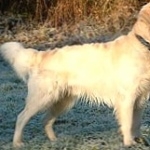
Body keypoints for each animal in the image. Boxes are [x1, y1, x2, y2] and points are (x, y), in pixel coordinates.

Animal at [0, 2, 150, 148]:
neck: (142, 46)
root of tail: (41, 55)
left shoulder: (140, 98)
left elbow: (136, 123)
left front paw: (140, 141)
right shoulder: (127, 97)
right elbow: (128, 123)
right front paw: (129, 143)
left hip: (63, 101)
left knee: (46, 119)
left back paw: (55, 141)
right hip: (42, 97)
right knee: (21, 117)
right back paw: (17, 143)